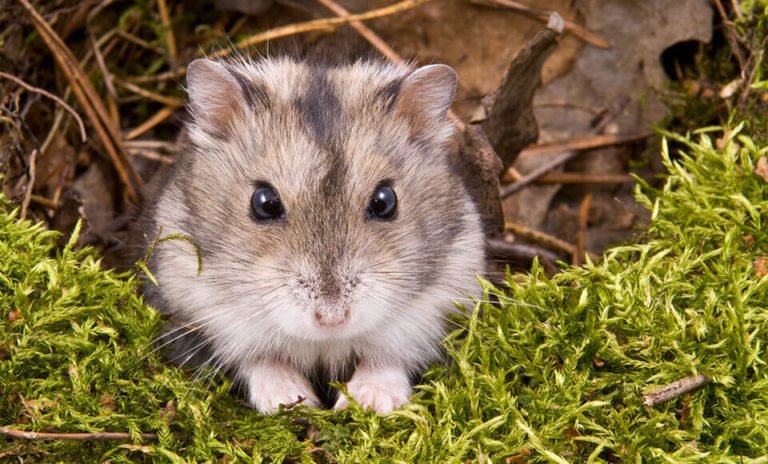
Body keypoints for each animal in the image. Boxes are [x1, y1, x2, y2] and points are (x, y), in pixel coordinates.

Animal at [141, 56, 485, 413]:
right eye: (264, 202)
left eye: (385, 201)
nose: (331, 319)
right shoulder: (196, 305)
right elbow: (260, 359)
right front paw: (293, 400)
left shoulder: (437, 303)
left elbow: (387, 358)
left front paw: (369, 402)